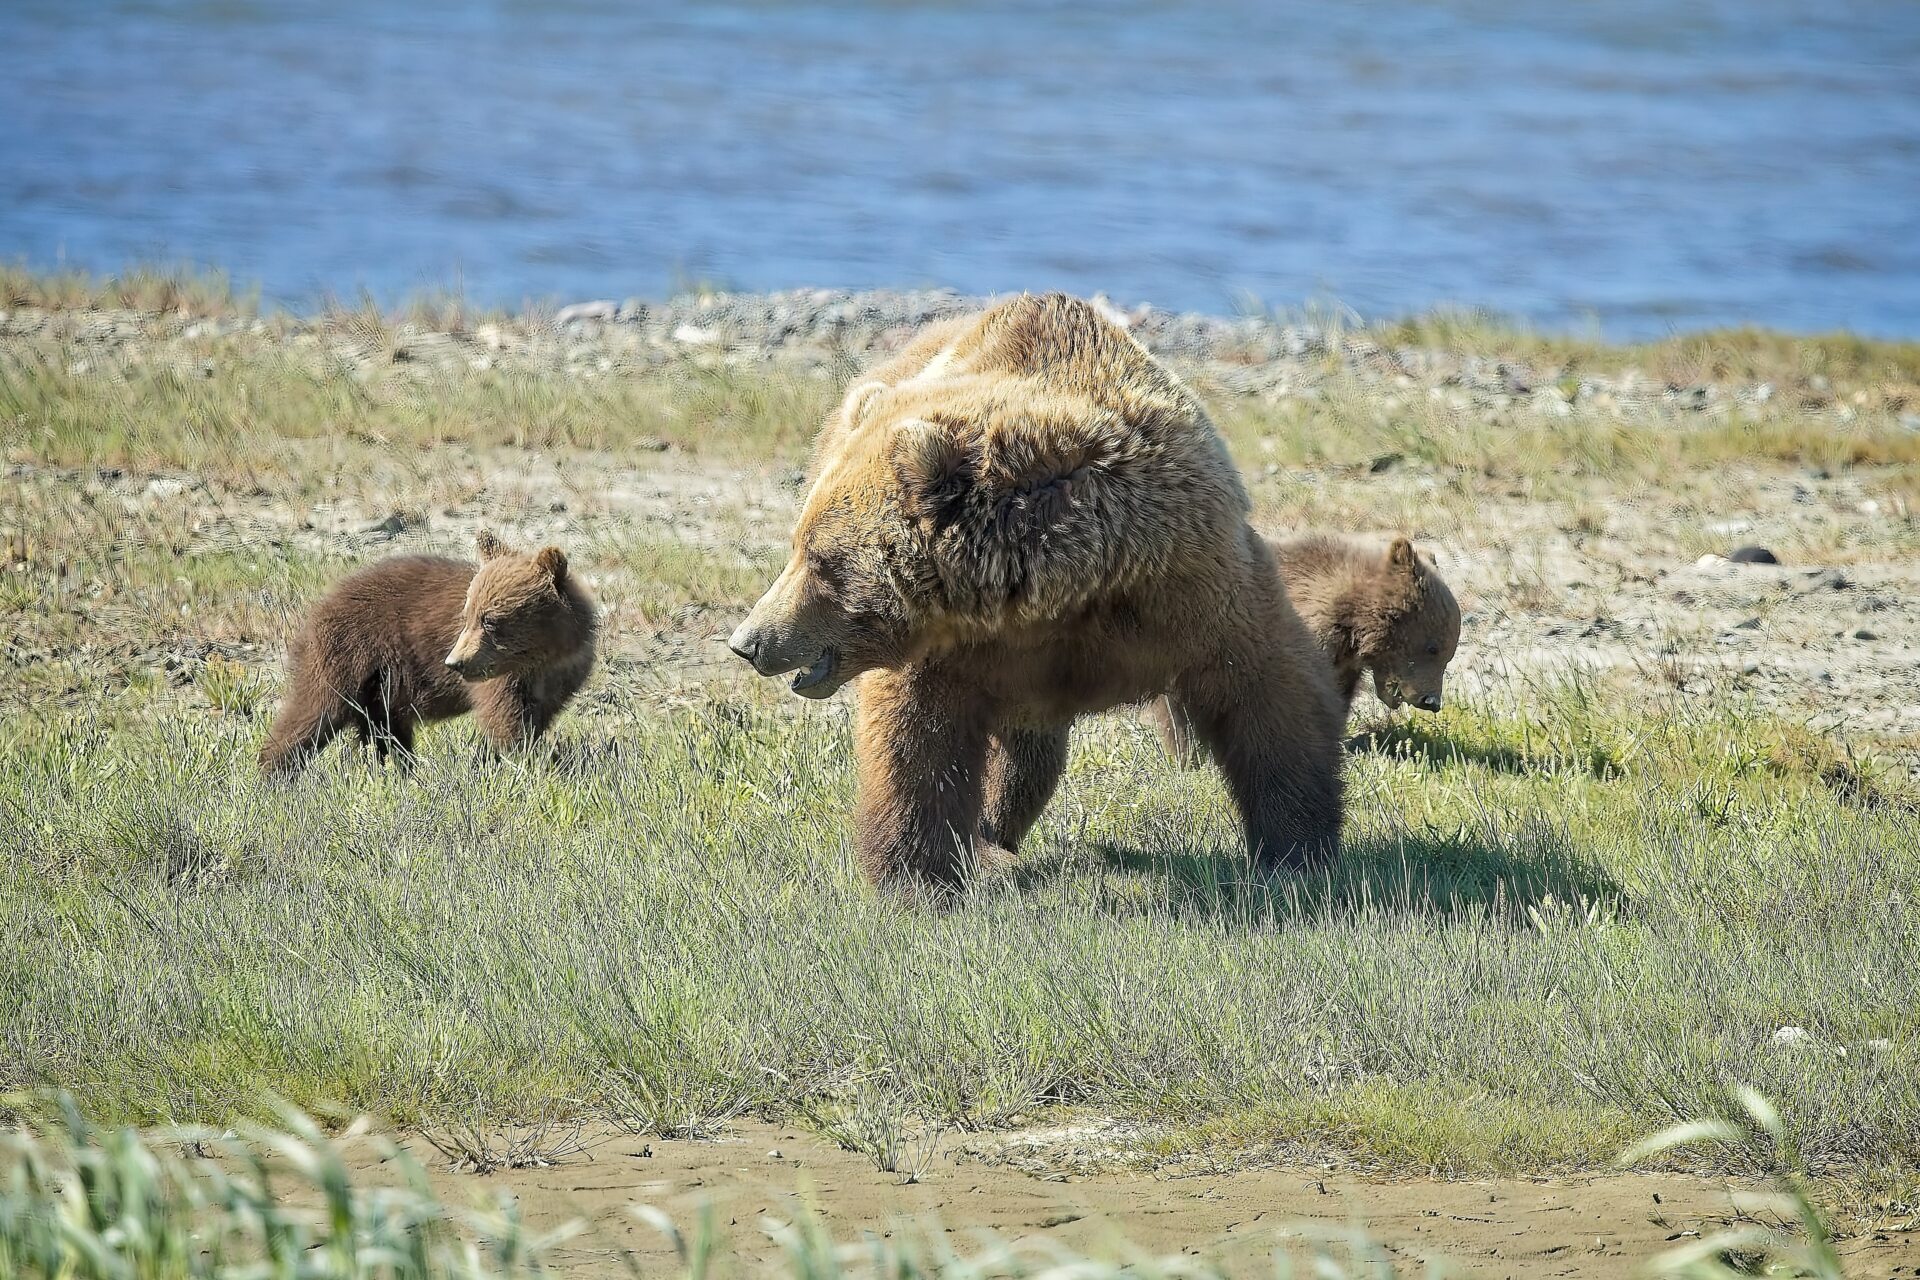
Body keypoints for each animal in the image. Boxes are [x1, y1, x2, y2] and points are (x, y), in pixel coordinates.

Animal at [258, 531, 596, 775]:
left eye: (489, 619)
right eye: (467, 615)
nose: (455, 663)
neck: (543, 654)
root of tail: (319, 605)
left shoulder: (560, 675)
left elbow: (536, 716)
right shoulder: (499, 674)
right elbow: (506, 718)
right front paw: (528, 762)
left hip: (382, 686)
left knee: (384, 730)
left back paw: (397, 770)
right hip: (348, 655)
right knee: (313, 711)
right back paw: (274, 773)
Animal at [727, 292, 1346, 892]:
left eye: (821, 560)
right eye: (799, 545)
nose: (748, 641)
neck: (1055, 593)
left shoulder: (1187, 582)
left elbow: (1267, 691)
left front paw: (1297, 850)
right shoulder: (951, 649)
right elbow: (916, 742)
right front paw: (915, 875)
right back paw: (988, 843)